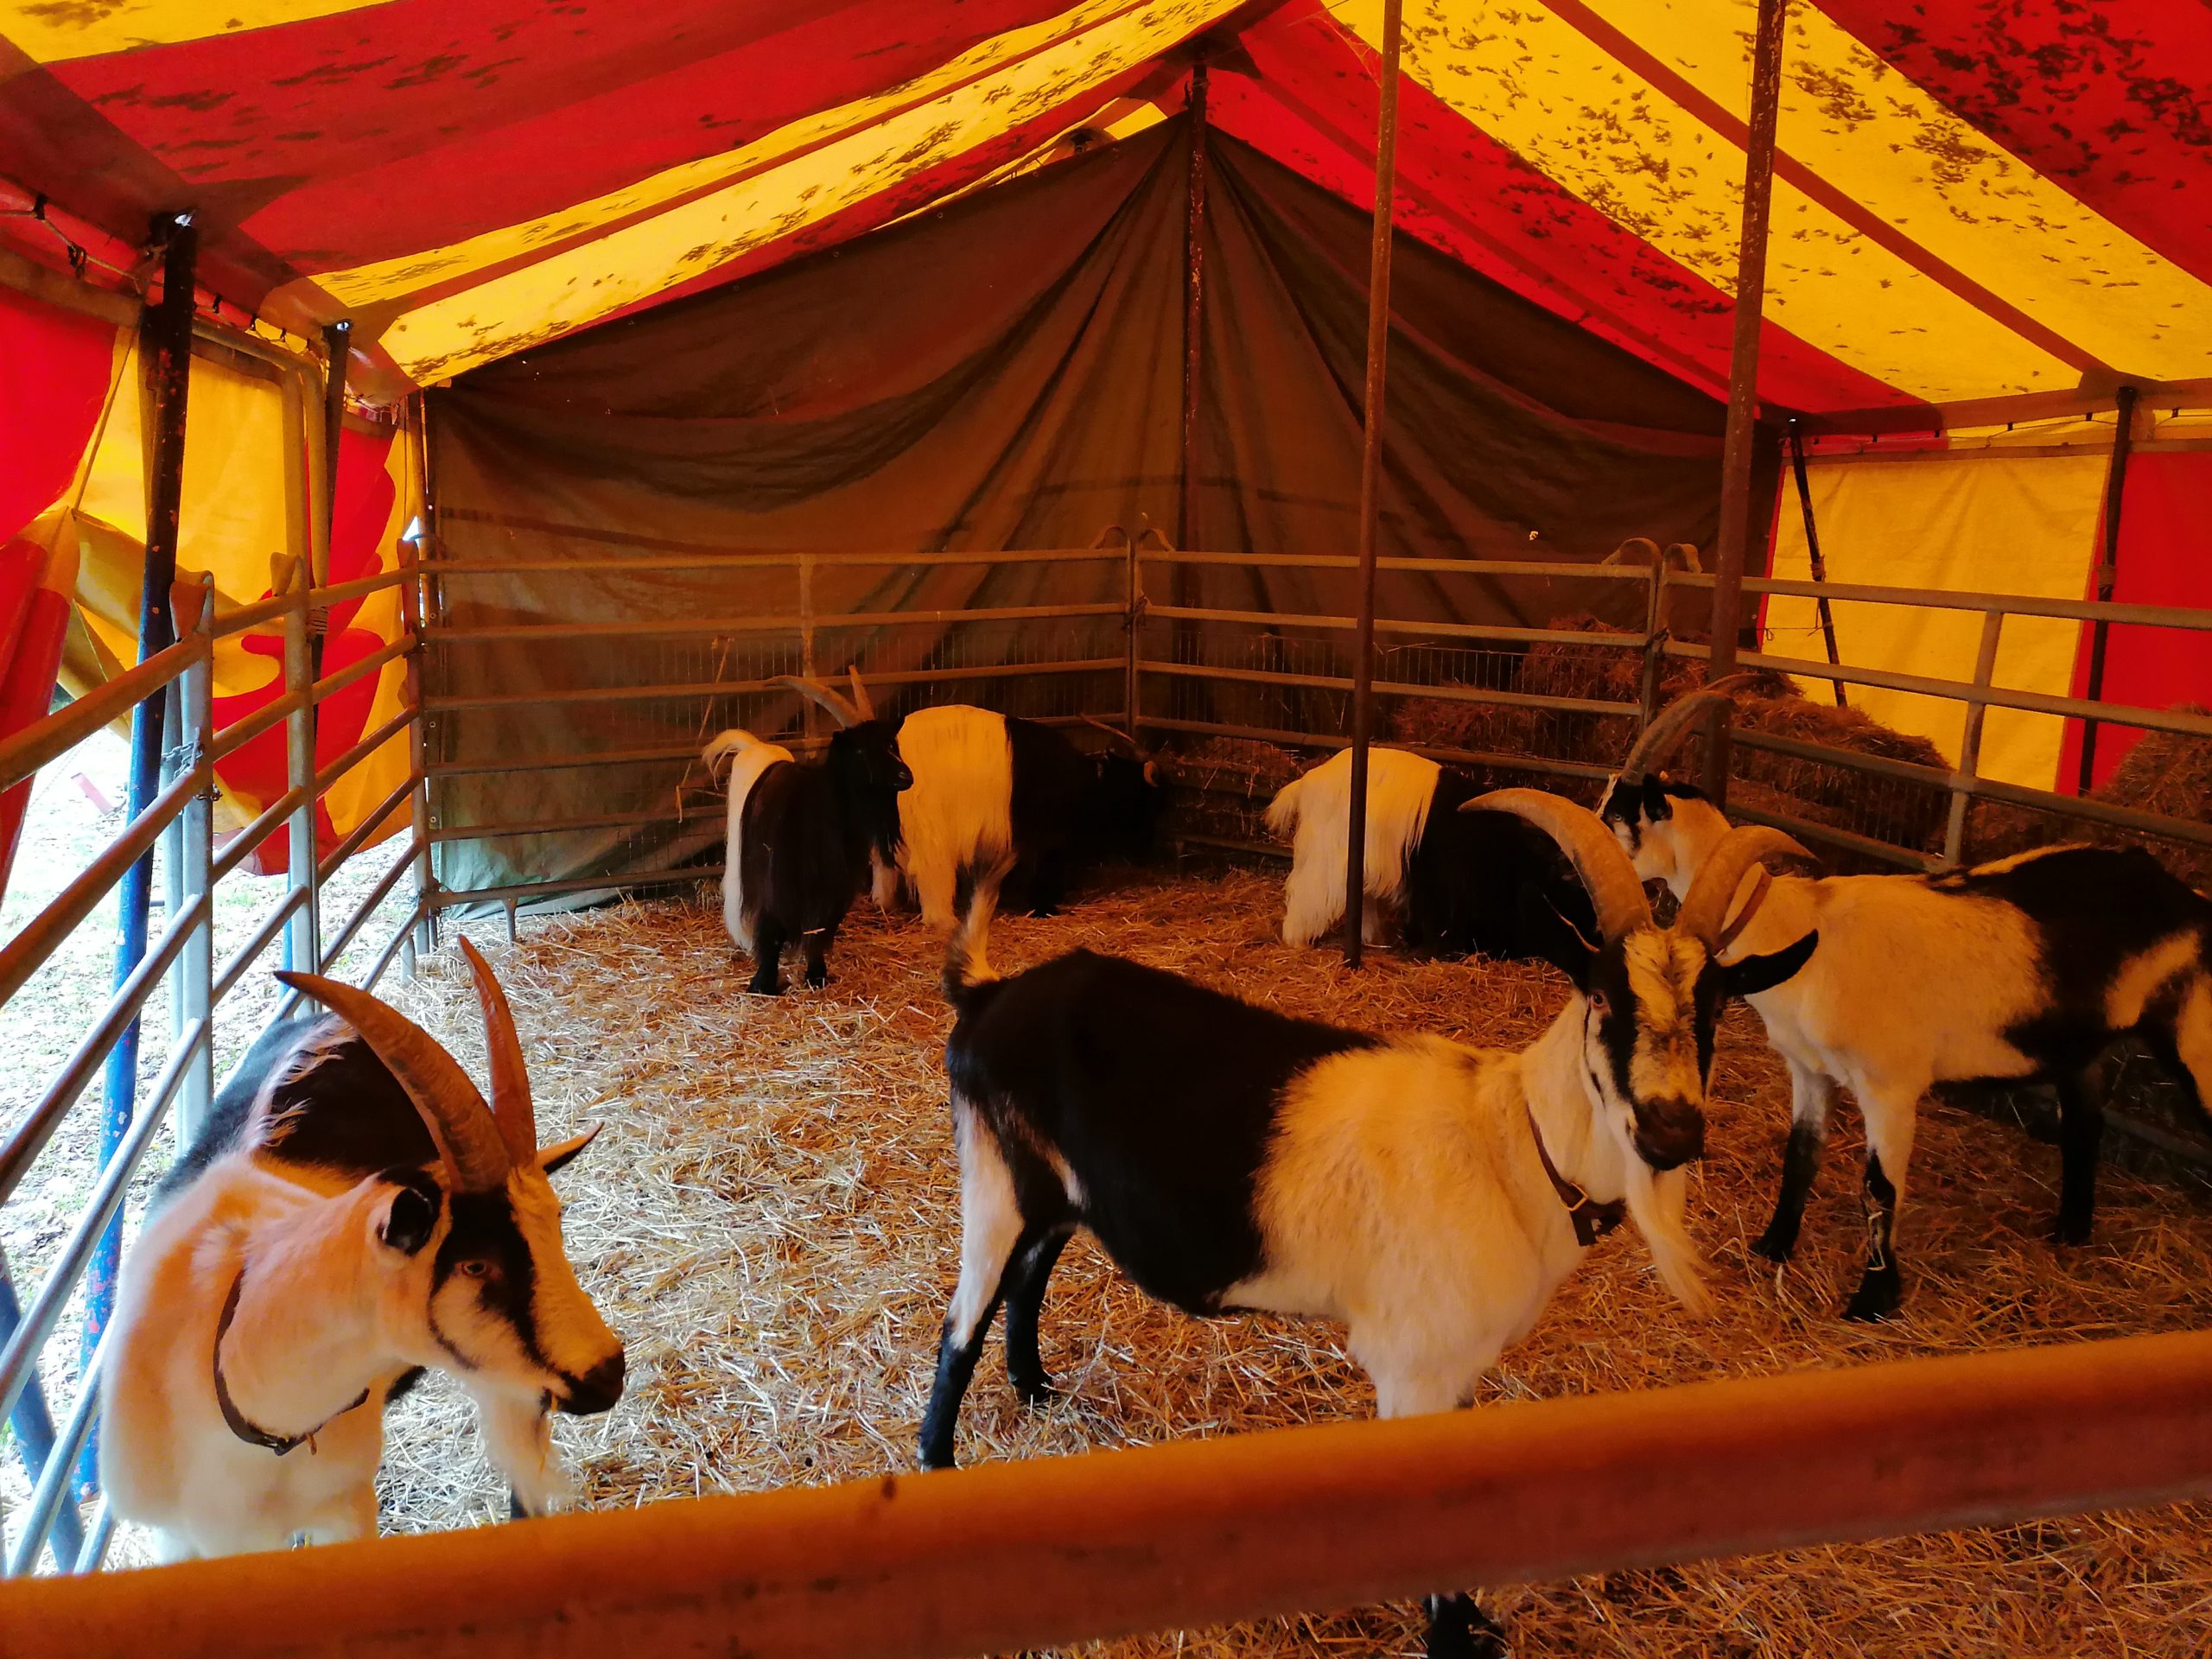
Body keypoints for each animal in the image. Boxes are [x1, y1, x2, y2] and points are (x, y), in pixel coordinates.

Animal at [704, 676, 911, 995]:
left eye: (893, 744)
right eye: (861, 751)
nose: (906, 777)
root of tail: (754, 746)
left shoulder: (835, 888)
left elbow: (822, 927)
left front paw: (817, 976)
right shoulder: (776, 883)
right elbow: (773, 930)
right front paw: (763, 983)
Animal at [921, 791, 1815, 1657]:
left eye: (1716, 1010)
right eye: (1600, 996)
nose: (1671, 1131)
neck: (1514, 1143)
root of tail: (988, 993)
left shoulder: (1457, 1360)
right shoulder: (1413, 1362)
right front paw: (1456, 1638)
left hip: (1053, 1193)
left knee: (1029, 1280)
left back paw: (1038, 1390)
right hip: (995, 1184)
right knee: (962, 1323)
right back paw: (938, 1473)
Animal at [1601, 686, 2212, 1320]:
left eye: (1618, 818)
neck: (1800, 929)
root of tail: (2183, 894)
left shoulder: (1889, 1087)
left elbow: (1879, 1187)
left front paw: (1872, 1300)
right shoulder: (1810, 1070)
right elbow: (1801, 1154)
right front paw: (1771, 1247)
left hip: (2196, 1034)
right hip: (2079, 1044)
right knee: (2086, 1123)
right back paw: (2069, 1230)